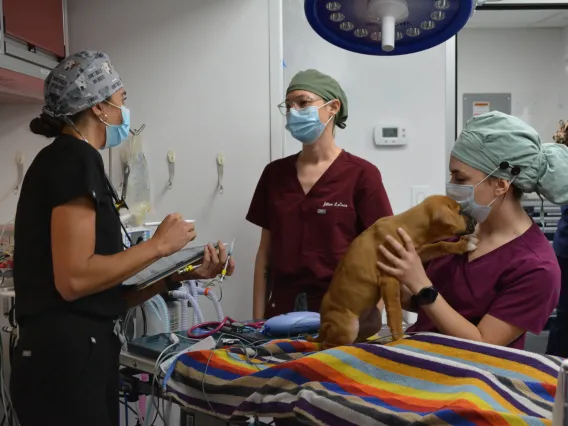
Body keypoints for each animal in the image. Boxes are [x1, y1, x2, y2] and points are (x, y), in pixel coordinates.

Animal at [312, 196, 478, 350]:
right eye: (459, 211)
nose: (476, 220)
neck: (406, 225)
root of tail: (323, 326)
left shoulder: (416, 254)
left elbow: (440, 245)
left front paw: (463, 245)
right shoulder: (389, 280)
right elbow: (395, 312)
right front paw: (399, 338)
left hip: (373, 321)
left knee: (356, 339)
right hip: (347, 327)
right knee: (328, 345)